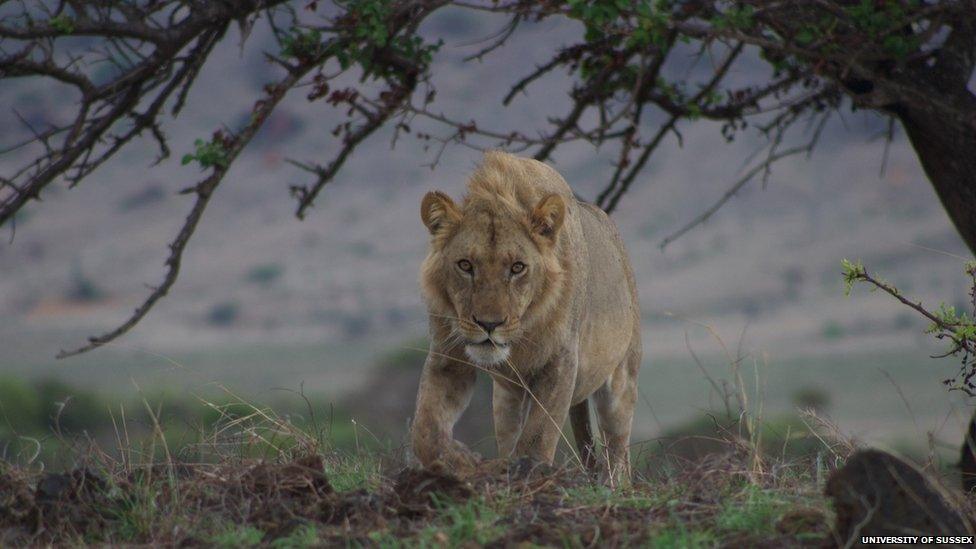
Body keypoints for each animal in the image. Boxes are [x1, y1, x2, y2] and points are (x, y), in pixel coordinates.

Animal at [411, 150, 642, 483]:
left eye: (517, 267)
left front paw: (526, 473)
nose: (489, 324)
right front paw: (462, 462)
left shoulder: (560, 360)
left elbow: (538, 436)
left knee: (618, 456)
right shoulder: (448, 355)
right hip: (505, 399)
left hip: (621, 382)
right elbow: (425, 429)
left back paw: (612, 484)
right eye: (465, 265)